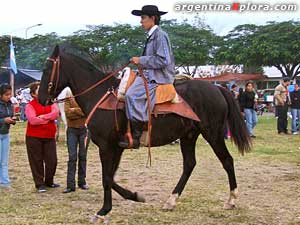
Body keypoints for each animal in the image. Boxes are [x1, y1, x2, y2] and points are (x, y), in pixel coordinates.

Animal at [39, 45, 251, 221]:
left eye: (47, 70)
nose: (41, 99)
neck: (100, 95)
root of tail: (219, 89)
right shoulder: (117, 147)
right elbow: (111, 177)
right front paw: (135, 196)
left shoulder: (106, 147)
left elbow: (107, 178)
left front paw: (103, 210)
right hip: (188, 136)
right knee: (189, 164)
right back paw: (171, 201)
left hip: (212, 134)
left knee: (227, 160)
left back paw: (231, 200)